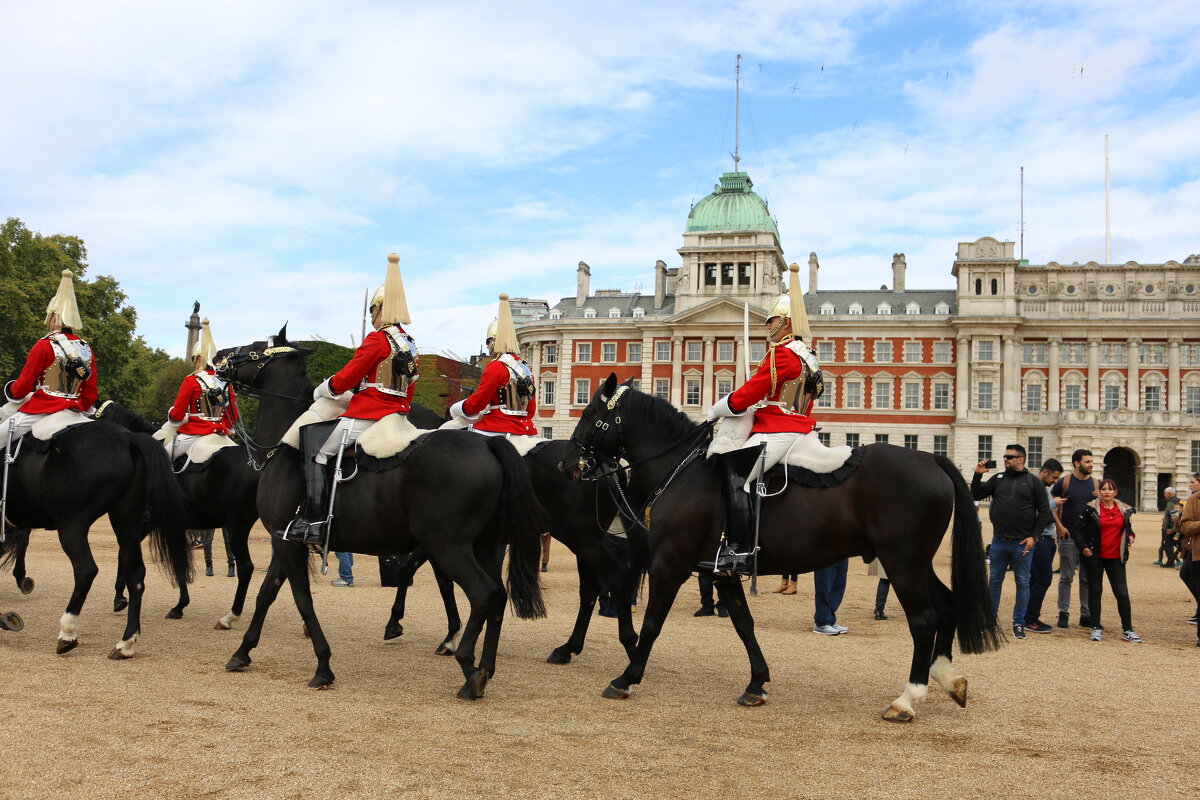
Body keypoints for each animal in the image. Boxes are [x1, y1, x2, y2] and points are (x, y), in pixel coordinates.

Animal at [0, 422, 190, 652]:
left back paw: (68, 632)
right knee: (135, 575)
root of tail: (129, 438)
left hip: (72, 526)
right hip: (127, 524)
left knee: (86, 571)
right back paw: (126, 642)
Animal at [218, 331, 547, 700]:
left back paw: (468, 667)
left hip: (449, 546)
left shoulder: (287, 543)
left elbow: (302, 600)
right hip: (483, 545)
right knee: (498, 596)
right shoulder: (285, 539)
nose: (218, 358)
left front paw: (323, 665)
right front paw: (242, 651)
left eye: (254, 349)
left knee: (483, 594)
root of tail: (488, 445)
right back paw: (485, 667)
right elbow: (267, 594)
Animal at [561, 379, 1003, 724]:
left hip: (901, 562)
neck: (681, 469)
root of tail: (931, 457)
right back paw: (948, 679)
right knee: (947, 605)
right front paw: (757, 683)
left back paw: (907, 699)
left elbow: (653, 623)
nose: (567, 465)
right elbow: (744, 624)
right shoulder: (721, 569)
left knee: (924, 619)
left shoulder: (671, 563)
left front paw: (626, 677)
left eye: (589, 416)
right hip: (914, 563)